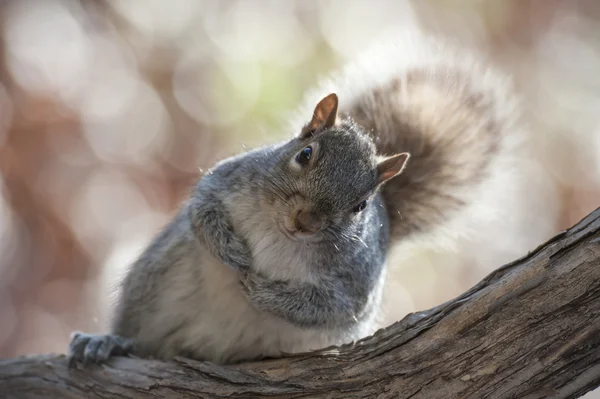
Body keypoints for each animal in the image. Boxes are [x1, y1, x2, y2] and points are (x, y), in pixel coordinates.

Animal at [68, 32, 520, 368]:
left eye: (360, 206)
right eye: (304, 154)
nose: (305, 221)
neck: (281, 234)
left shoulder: (355, 285)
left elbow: (329, 307)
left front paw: (263, 291)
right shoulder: (230, 177)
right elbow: (203, 206)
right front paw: (229, 250)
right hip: (159, 279)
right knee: (139, 334)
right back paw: (109, 342)